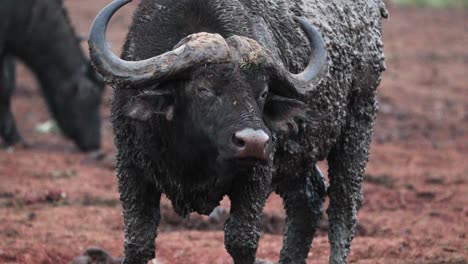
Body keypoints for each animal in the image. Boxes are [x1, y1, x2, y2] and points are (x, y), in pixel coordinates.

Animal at [88, 0, 388, 262]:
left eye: (263, 92)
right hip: (299, 153)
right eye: (204, 89)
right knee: (308, 201)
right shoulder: (131, 169)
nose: (253, 142)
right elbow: (138, 242)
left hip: (360, 121)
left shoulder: (257, 175)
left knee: (343, 210)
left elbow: (241, 240)